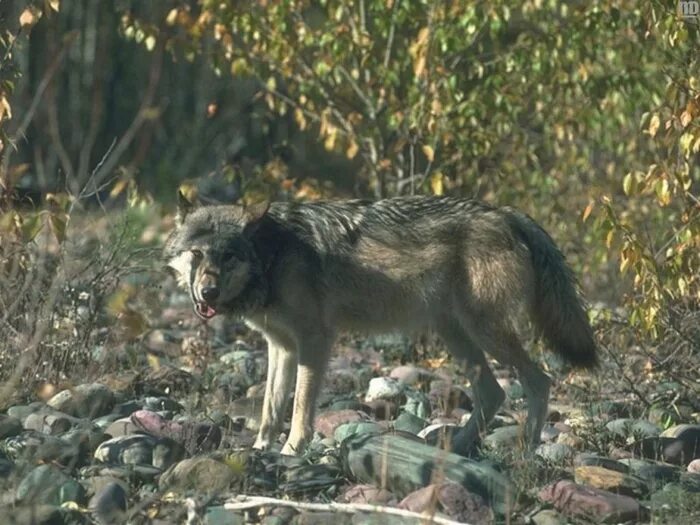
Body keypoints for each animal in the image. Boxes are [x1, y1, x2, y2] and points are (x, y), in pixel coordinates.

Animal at [164, 192, 596, 454]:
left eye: (229, 256)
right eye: (196, 254)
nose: (207, 293)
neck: (272, 256)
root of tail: (506, 212)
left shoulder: (315, 340)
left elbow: (301, 408)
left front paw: (291, 451)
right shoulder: (281, 346)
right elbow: (271, 409)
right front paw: (259, 451)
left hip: (486, 333)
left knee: (538, 381)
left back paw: (526, 449)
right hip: (456, 334)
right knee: (494, 393)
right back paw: (456, 450)